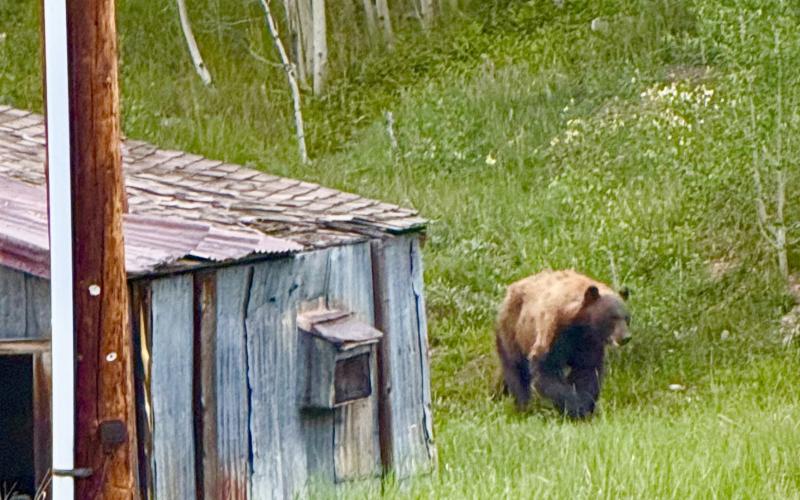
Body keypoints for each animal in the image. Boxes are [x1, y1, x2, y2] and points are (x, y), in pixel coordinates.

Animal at [495, 269, 630, 418]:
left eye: (627, 318)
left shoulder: (589, 344)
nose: (625, 337)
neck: (580, 325)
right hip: (514, 331)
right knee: (516, 370)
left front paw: (585, 407)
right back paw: (523, 406)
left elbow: (587, 371)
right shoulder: (552, 333)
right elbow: (547, 372)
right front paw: (574, 407)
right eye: (613, 317)